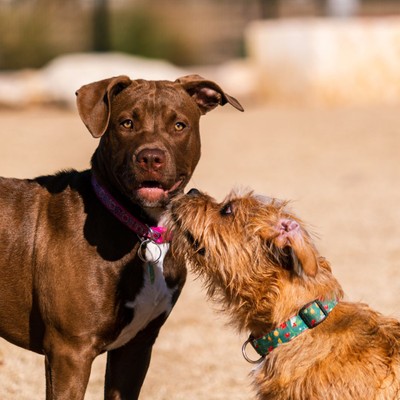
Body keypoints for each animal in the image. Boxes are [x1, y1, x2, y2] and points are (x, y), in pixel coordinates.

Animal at [0, 76, 244, 398]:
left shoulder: (135, 348)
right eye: (126, 123)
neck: (142, 229)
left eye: (179, 125)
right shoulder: (69, 351)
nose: (151, 157)